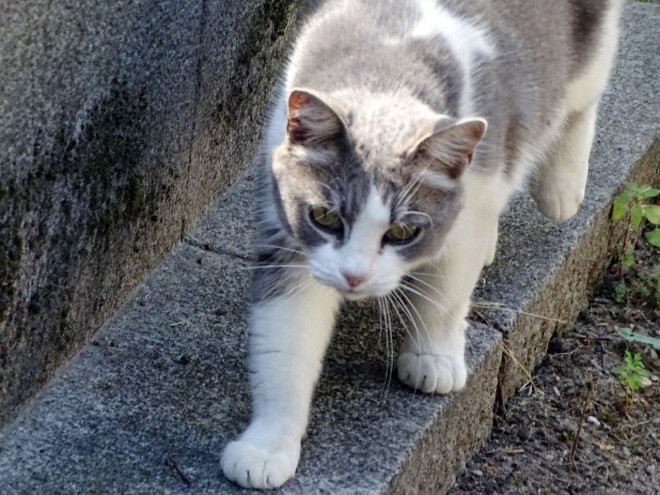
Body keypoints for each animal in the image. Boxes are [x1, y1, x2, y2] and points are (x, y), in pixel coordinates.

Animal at [220, 0, 624, 488]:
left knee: (584, 95)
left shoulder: (464, 214)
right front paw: (268, 447)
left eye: (400, 233)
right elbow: (284, 346)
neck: (387, 72)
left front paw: (432, 359)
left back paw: (562, 185)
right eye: (325, 217)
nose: (354, 276)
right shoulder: (289, 239)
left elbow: (444, 296)